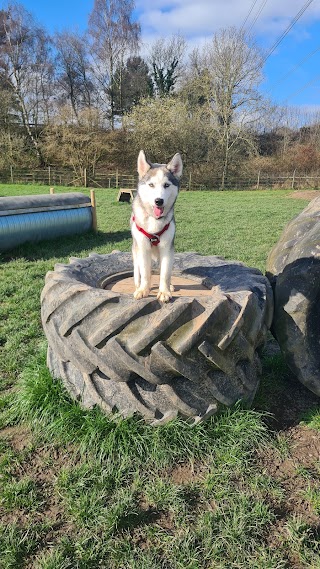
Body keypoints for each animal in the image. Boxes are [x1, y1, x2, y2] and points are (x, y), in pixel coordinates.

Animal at [131, 150, 184, 302]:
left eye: (166, 185)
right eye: (151, 185)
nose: (158, 201)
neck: (154, 221)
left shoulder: (167, 248)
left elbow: (165, 274)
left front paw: (164, 291)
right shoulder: (143, 248)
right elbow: (145, 273)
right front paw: (143, 289)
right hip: (136, 250)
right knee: (139, 270)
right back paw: (138, 284)